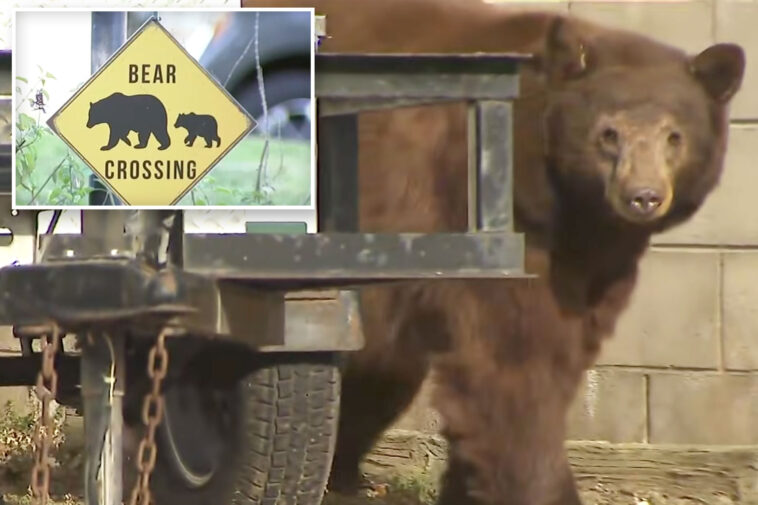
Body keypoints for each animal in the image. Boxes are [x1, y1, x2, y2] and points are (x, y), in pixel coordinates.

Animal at [243, 1, 745, 504]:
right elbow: (512, 368)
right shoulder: (488, 223)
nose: (643, 196)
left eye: (674, 136)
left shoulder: (592, 262)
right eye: (609, 133)